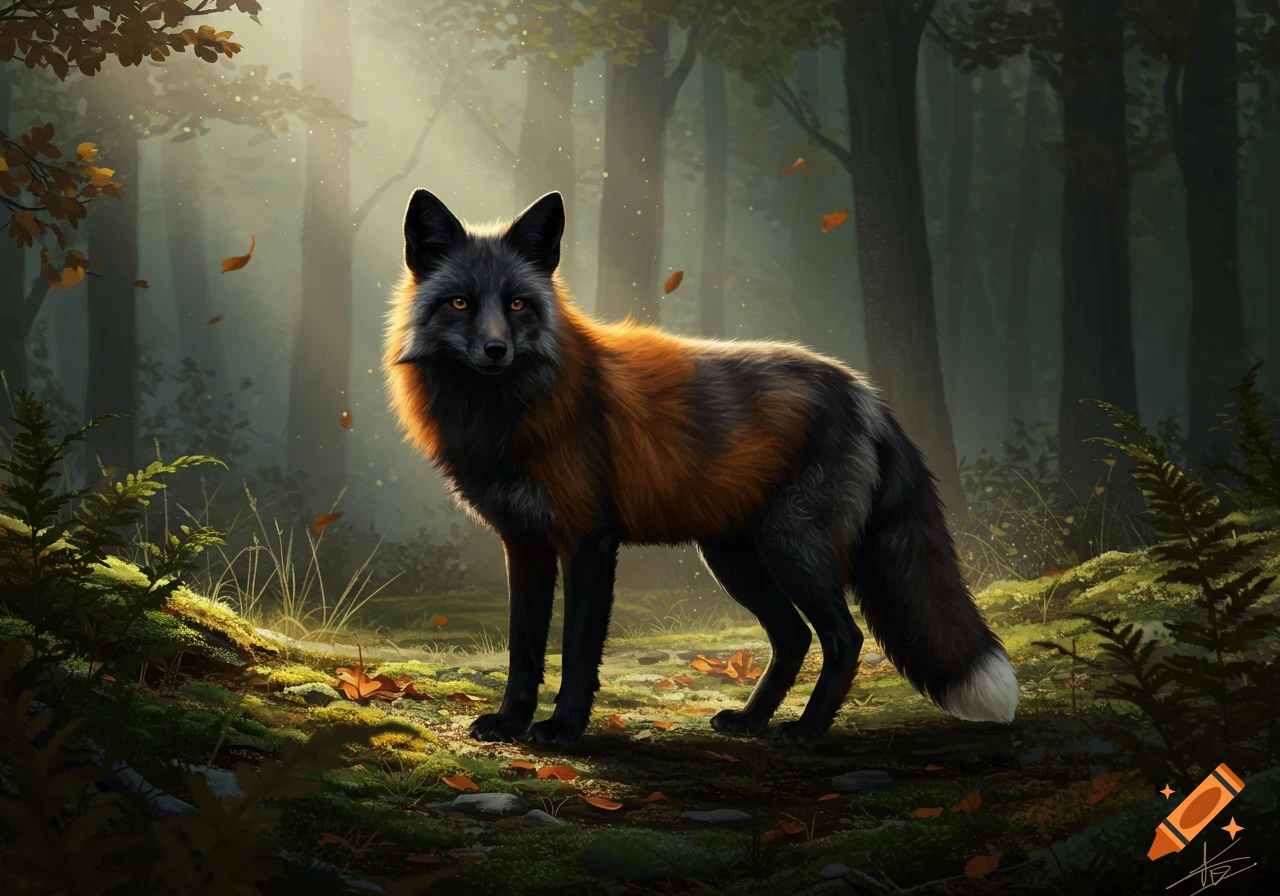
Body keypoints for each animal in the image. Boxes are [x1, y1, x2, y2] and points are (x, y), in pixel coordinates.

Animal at [383, 189, 1018, 747]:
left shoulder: (589, 540)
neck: (508, 413)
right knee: (792, 637)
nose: (496, 350)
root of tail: (865, 390)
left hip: (792, 547)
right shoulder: (525, 543)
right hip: (733, 557)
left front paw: (563, 730)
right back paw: (751, 720)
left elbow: (579, 649)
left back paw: (807, 730)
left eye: (517, 304)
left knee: (844, 637)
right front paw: (511, 723)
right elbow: (524, 650)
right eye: (461, 303)